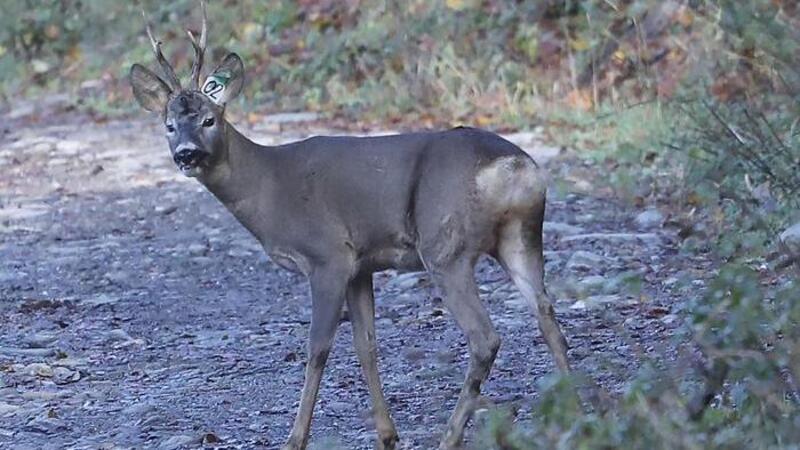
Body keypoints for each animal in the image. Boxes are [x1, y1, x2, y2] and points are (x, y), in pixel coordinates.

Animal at [130, 2, 568, 446]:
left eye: (208, 120)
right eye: (169, 125)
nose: (186, 154)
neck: (268, 187)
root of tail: (517, 168)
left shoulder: (328, 256)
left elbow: (318, 347)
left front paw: (295, 439)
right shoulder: (362, 264)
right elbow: (366, 344)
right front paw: (387, 434)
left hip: (445, 245)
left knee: (485, 338)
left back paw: (450, 435)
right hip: (520, 236)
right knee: (549, 318)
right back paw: (576, 409)